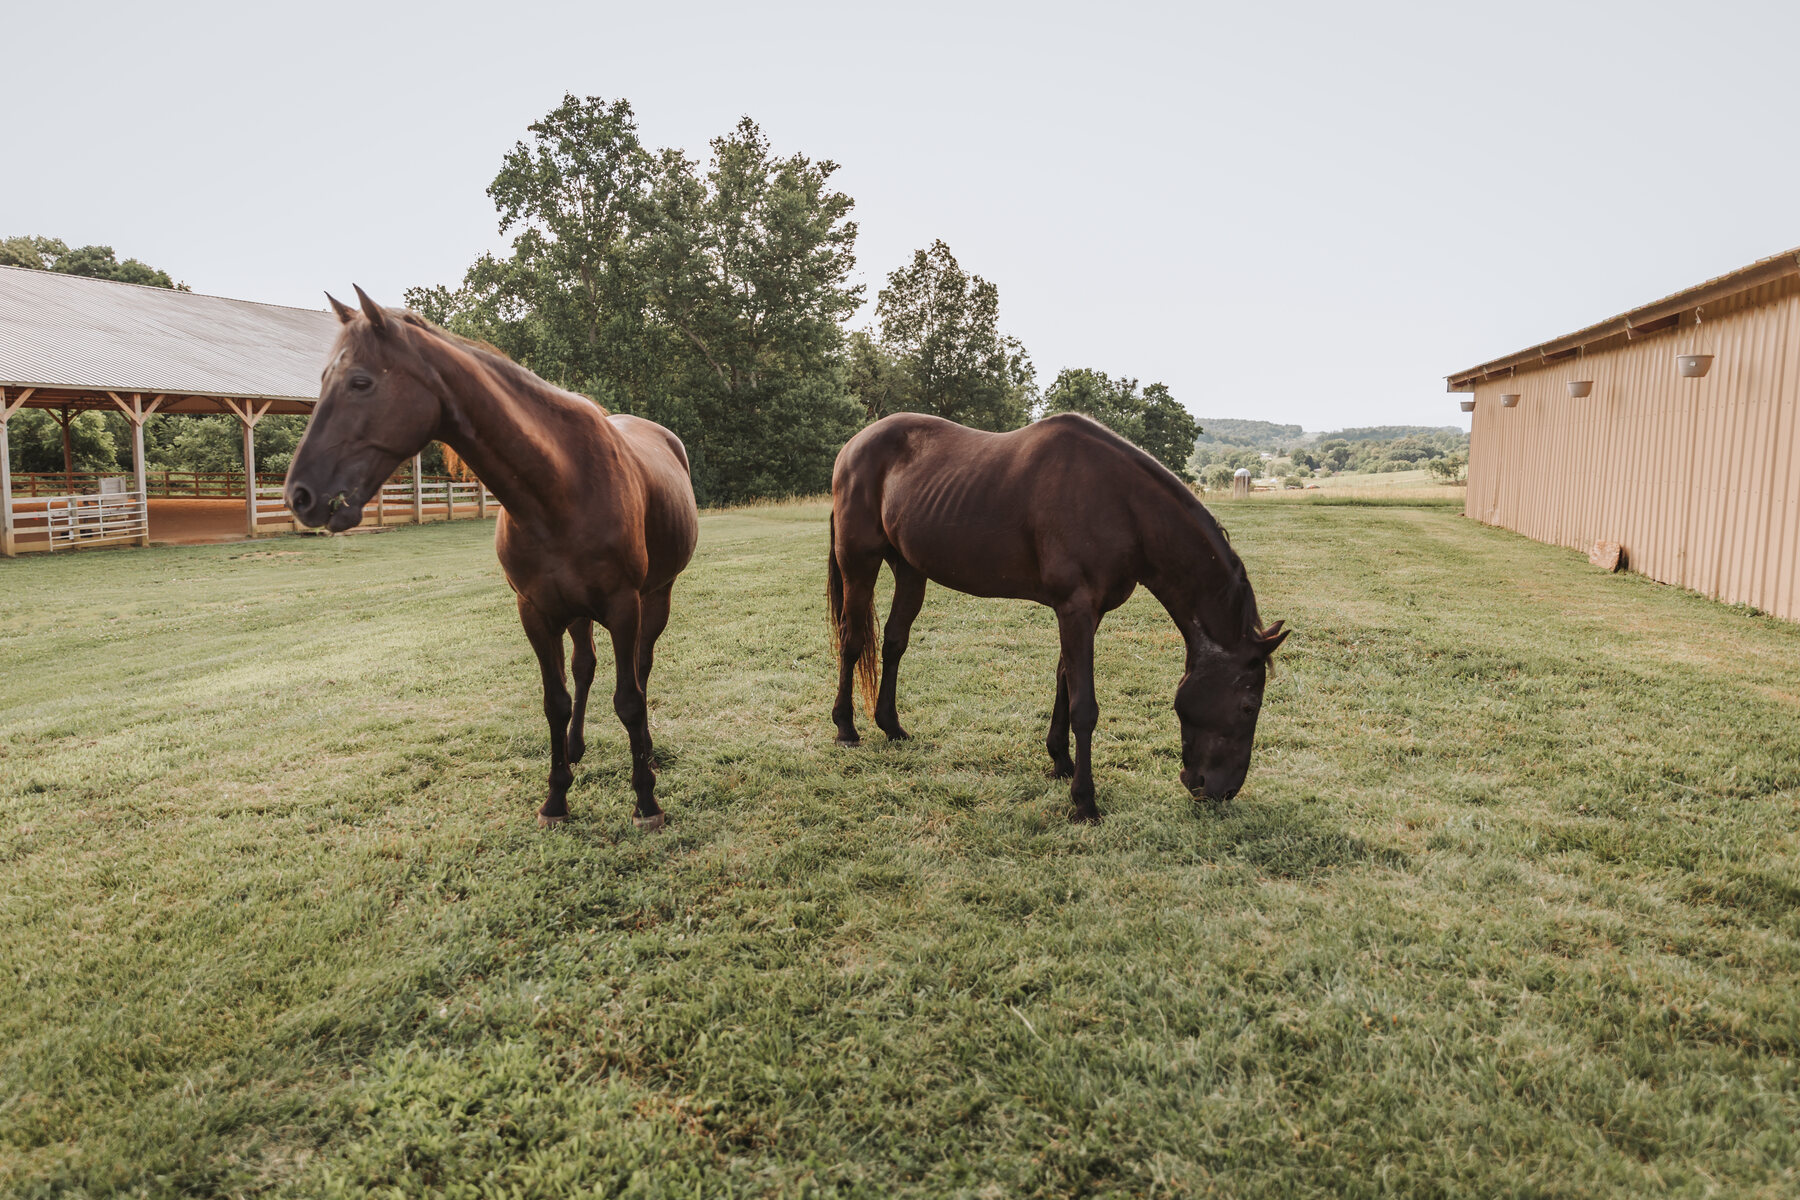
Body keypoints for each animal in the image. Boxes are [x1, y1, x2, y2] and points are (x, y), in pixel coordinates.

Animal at [284, 287, 699, 831]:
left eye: (360, 382)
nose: (300, 495)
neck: (560, 487)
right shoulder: (536, 611)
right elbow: (555, 701)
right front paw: (556, 798)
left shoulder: (623, 605)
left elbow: (629, 699)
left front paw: (646, 800)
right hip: (577, 612)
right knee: (585, 667)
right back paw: (576, 748)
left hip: (655, 598)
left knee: (642, 668)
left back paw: (645, 751)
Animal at [827, 411, 1287, 823]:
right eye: (1249, 706)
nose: (1221, 790)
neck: (1120, 504)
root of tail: (852, 445)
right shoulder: (1075, 609)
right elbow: (1084, 705)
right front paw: (1084, 801)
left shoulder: (1087, 613)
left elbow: (1064, 677)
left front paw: (1060, 762)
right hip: (859, 563)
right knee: (852, 641)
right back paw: (846, 729)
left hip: (910, 570)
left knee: (893, 642)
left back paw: (891, 726)